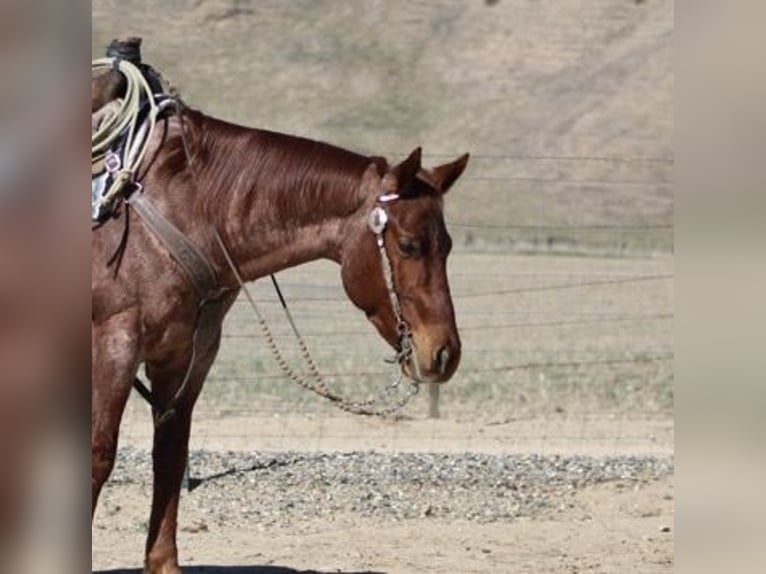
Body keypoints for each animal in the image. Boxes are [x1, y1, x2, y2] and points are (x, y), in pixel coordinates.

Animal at [93, 107, 472, 572]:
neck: (187, 210)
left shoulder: (183, 359)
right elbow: (99, 456)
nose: (445, 352)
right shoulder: (115, 345)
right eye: (408, 245)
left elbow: (169, 456)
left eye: (448, 246)